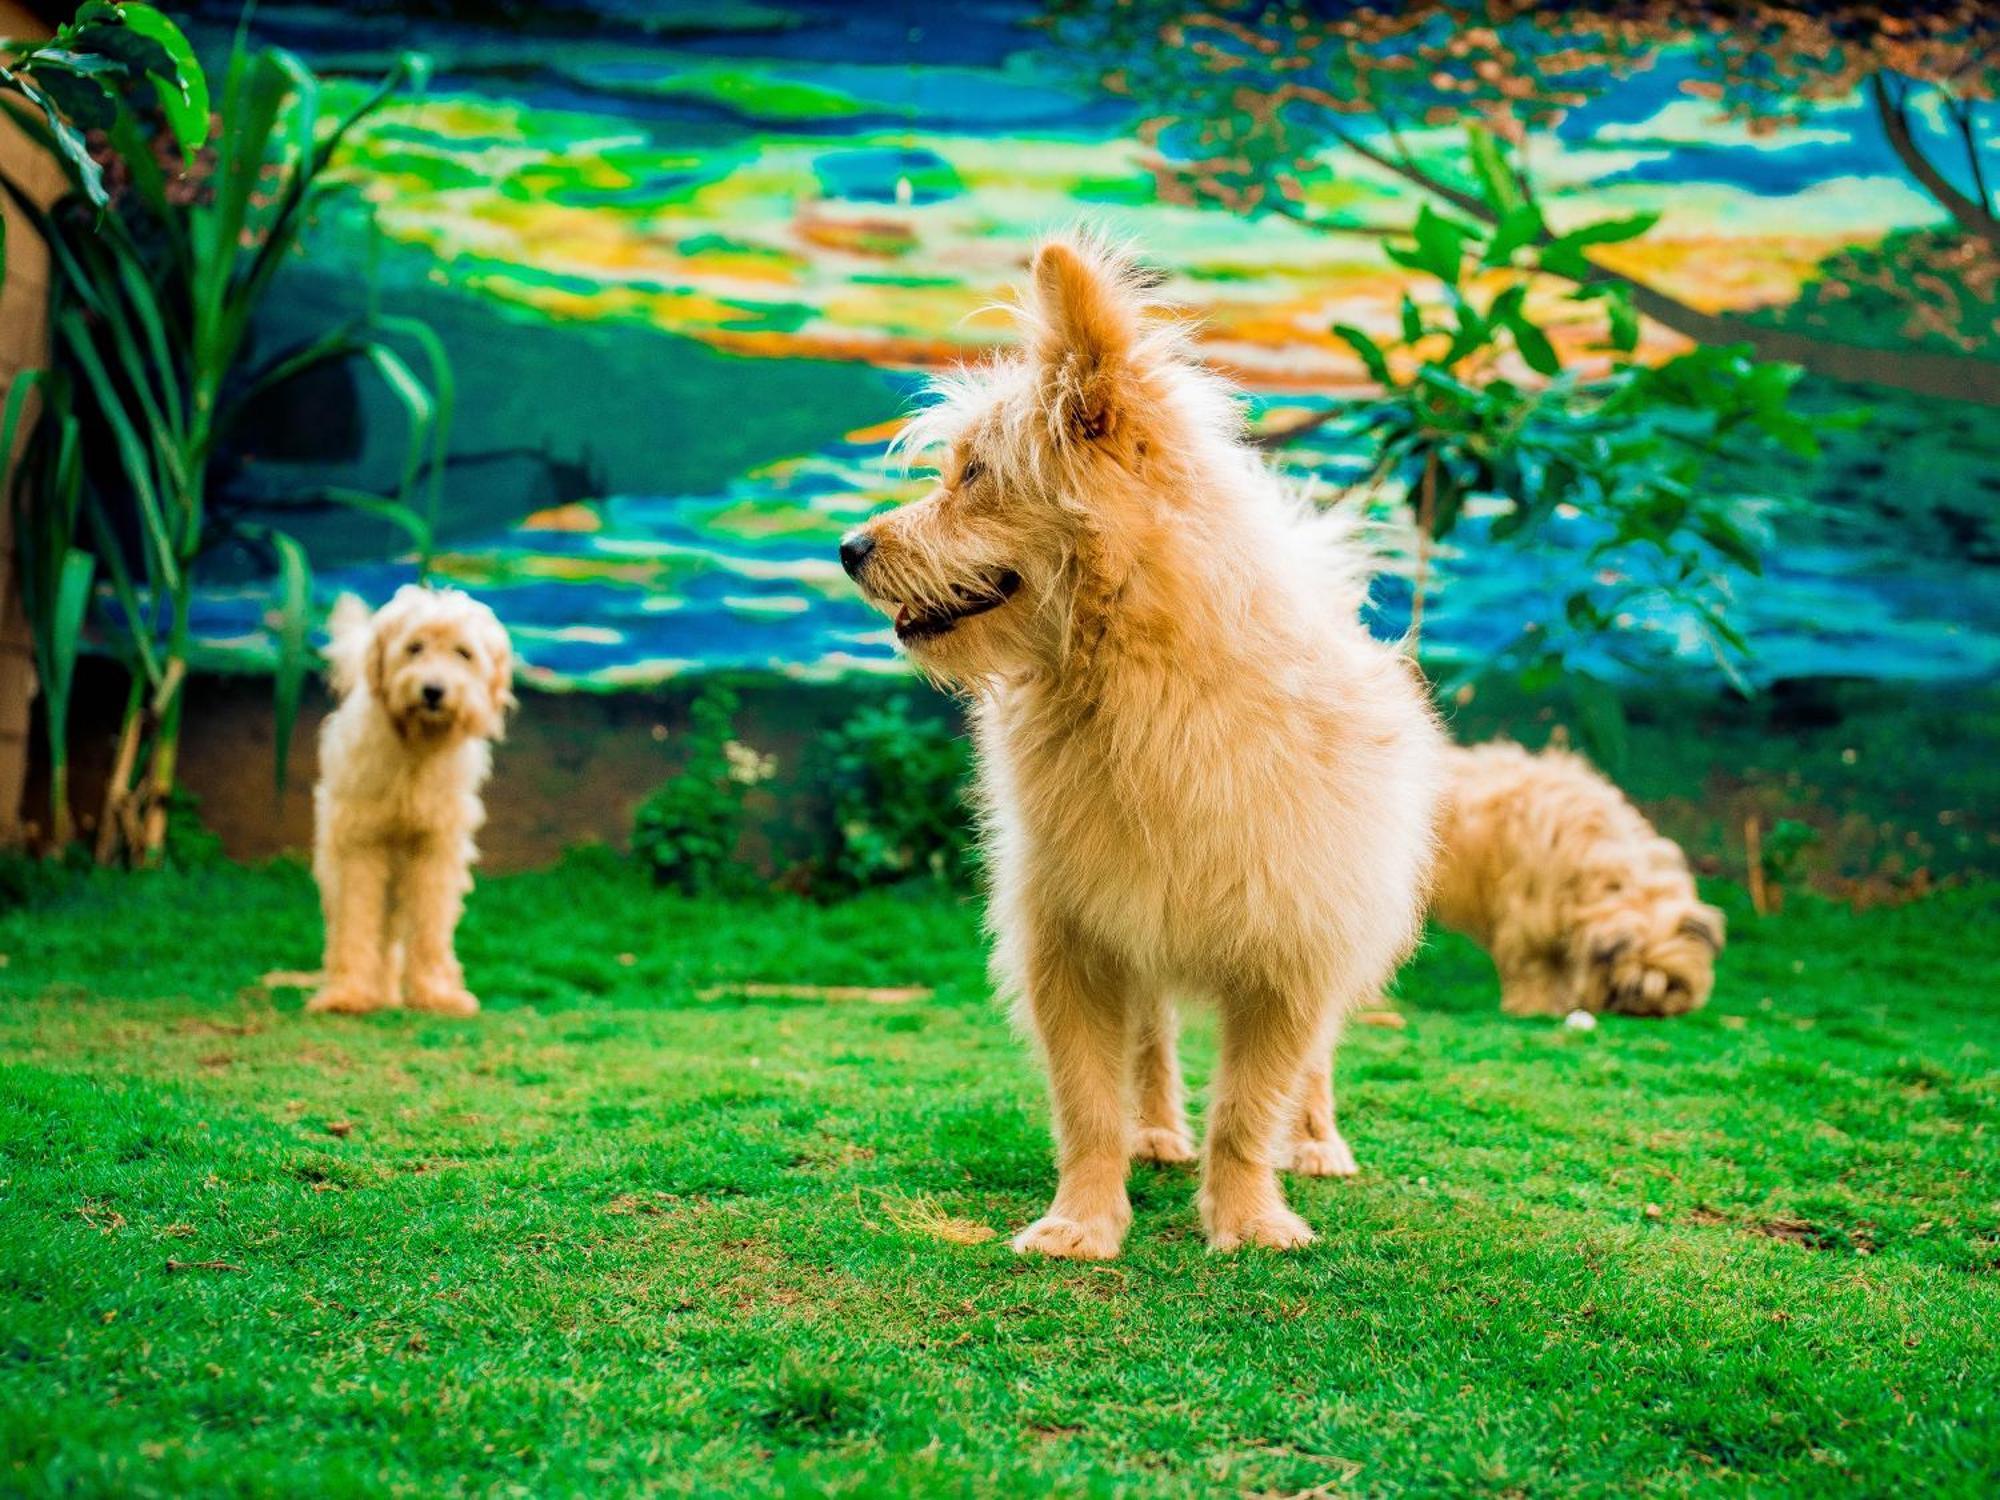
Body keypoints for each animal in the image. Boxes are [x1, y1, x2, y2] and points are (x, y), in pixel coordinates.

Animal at [308, 588, 516, 1024]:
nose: (433, 691)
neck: (417, 748)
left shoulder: (435, 848)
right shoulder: (361, 843)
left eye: (463, 653)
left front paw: (437, 995)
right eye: (414, 648)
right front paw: (348, 994)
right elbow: (357, 920)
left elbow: (431, 926)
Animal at [840, 235, 1440, 1264]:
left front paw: (1248, 1218)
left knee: (1310, 1065)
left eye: (974, 476)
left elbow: (1250, 1108)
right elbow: (1087, 1103)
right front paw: (1084, 1219)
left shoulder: (1294, 944)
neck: (1138, 686)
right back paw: (1157, 1132)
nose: (848, 548)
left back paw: (1317, 1143)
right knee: (1153, 1042)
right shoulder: (1071, 940)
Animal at [1432, 744, 1728, 1024]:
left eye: (1674, 983)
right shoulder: (1528, 926)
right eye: (1631, 986)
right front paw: (1538, 1007)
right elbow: (1535, 968)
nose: (1651, 1010)